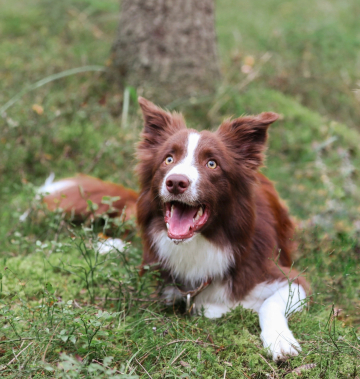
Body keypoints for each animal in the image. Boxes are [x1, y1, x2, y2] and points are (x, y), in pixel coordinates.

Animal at [41, 97, 306, 362]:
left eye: (212, 163)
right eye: (168, 159)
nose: (176, 182)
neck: (201, 242)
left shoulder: (288, 278)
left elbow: (269, 304)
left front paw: (280, 341)